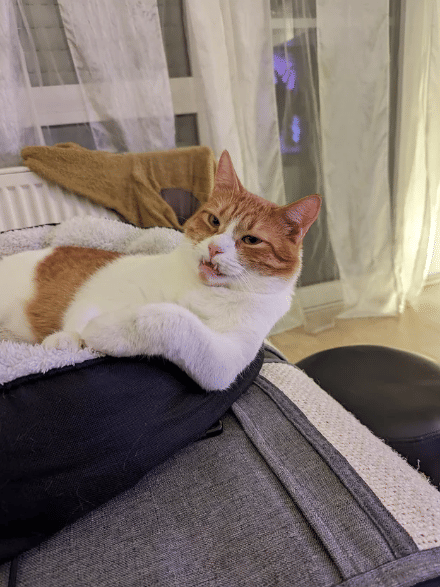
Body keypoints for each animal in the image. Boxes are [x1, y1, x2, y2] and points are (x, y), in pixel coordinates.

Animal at [0, 151, 321, 390]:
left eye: (251, 240)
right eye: (214, 221)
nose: (215, 248)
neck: (201, 290)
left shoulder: (224, 362)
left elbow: (172, 319)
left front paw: (104, 331)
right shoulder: (101, 291)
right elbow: (82, 313)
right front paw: (67, 339)